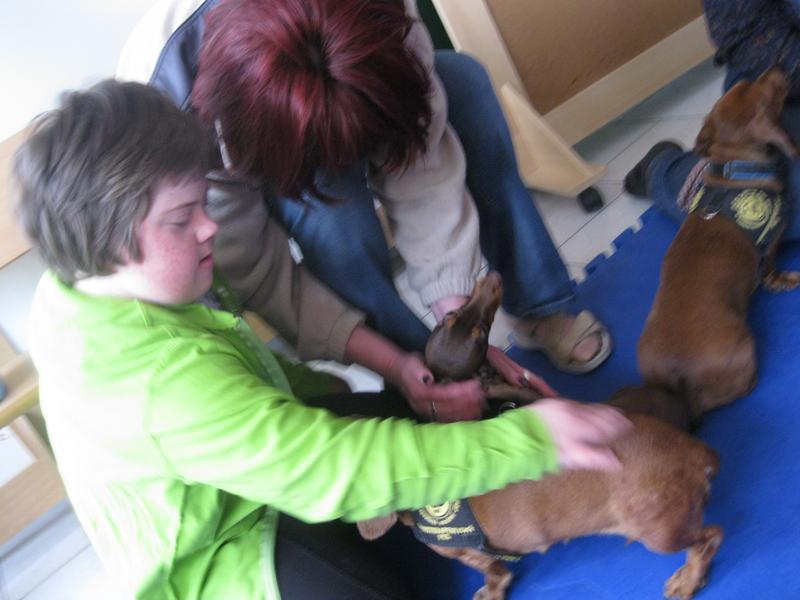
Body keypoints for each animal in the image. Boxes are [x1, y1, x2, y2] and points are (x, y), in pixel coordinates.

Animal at [358, 273, 723, 600]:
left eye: (477, 329)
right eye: (452, 317)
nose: (491, 279)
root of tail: (695, 453)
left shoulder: (466, 552)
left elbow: (493, 571)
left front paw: (492, 590)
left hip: (659, 532)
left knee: (710, 538)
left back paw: (688, 580)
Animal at [638, 67, 800, 423]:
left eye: (746, 84)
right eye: (762, 86)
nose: (779, 68)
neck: (737, 168)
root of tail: (679, 377)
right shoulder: (771, 248)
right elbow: (773, 270)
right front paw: (786, 280)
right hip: (745, 346)